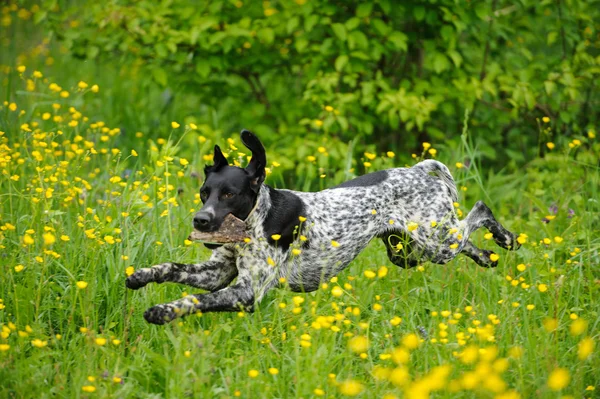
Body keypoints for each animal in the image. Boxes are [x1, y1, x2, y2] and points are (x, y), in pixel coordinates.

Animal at [127, 131, 520, 324]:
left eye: (229, 194)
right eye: (204, 192)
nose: (201, 220)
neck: (258, 217)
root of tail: (419, 171)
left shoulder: (244, 292)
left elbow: (194, 300)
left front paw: (163, 312)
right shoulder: (216, 273)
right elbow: (171, 268)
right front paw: (140, 276)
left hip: (434, 242)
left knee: (480, 212)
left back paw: (506, 238)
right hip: (411, 252)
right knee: (470, 243)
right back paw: (487, 256)